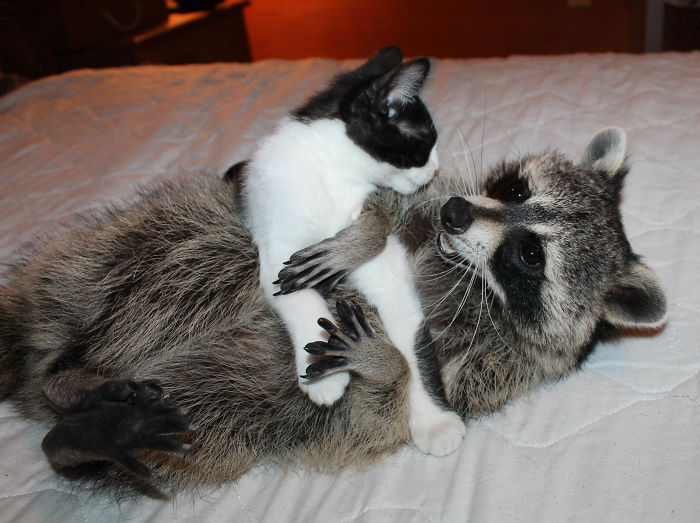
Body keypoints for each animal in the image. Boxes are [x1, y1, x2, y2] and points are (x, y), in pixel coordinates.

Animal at [0, 128, 666, 498]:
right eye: (516, 190)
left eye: (531, 256)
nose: (454, 213)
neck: (459, 268)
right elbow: (378, 194)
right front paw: (370, 228)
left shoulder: (488, 368)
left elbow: (375, 419)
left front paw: (386, 365)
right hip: (162, 242)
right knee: (191, 260)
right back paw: (70, 377)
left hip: (225, 406)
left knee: (204, 412)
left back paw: (73, 432)